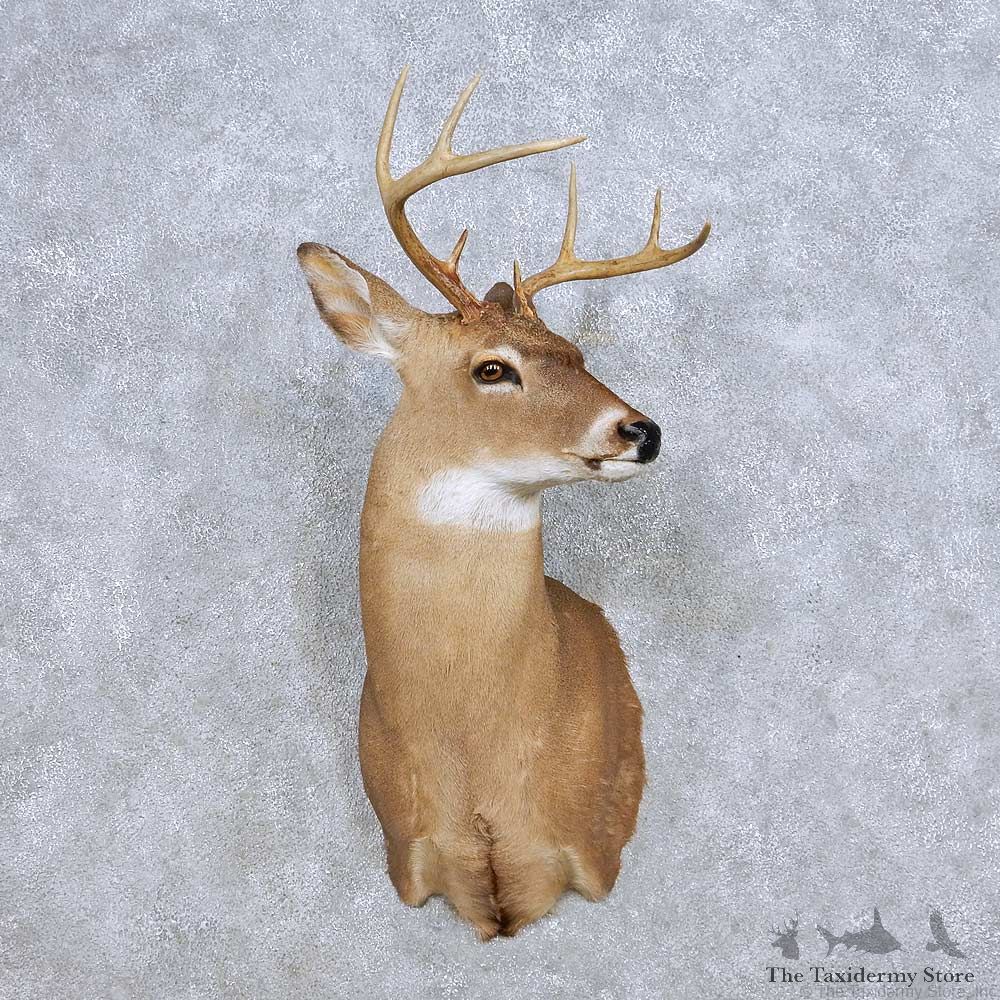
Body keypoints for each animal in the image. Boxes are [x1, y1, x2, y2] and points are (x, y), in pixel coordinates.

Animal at [296, 66, 710, 940]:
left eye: (578, 354)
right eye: (492, 368)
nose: (641, 430)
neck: (474, 763)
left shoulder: (594, 845)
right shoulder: (410, 860)